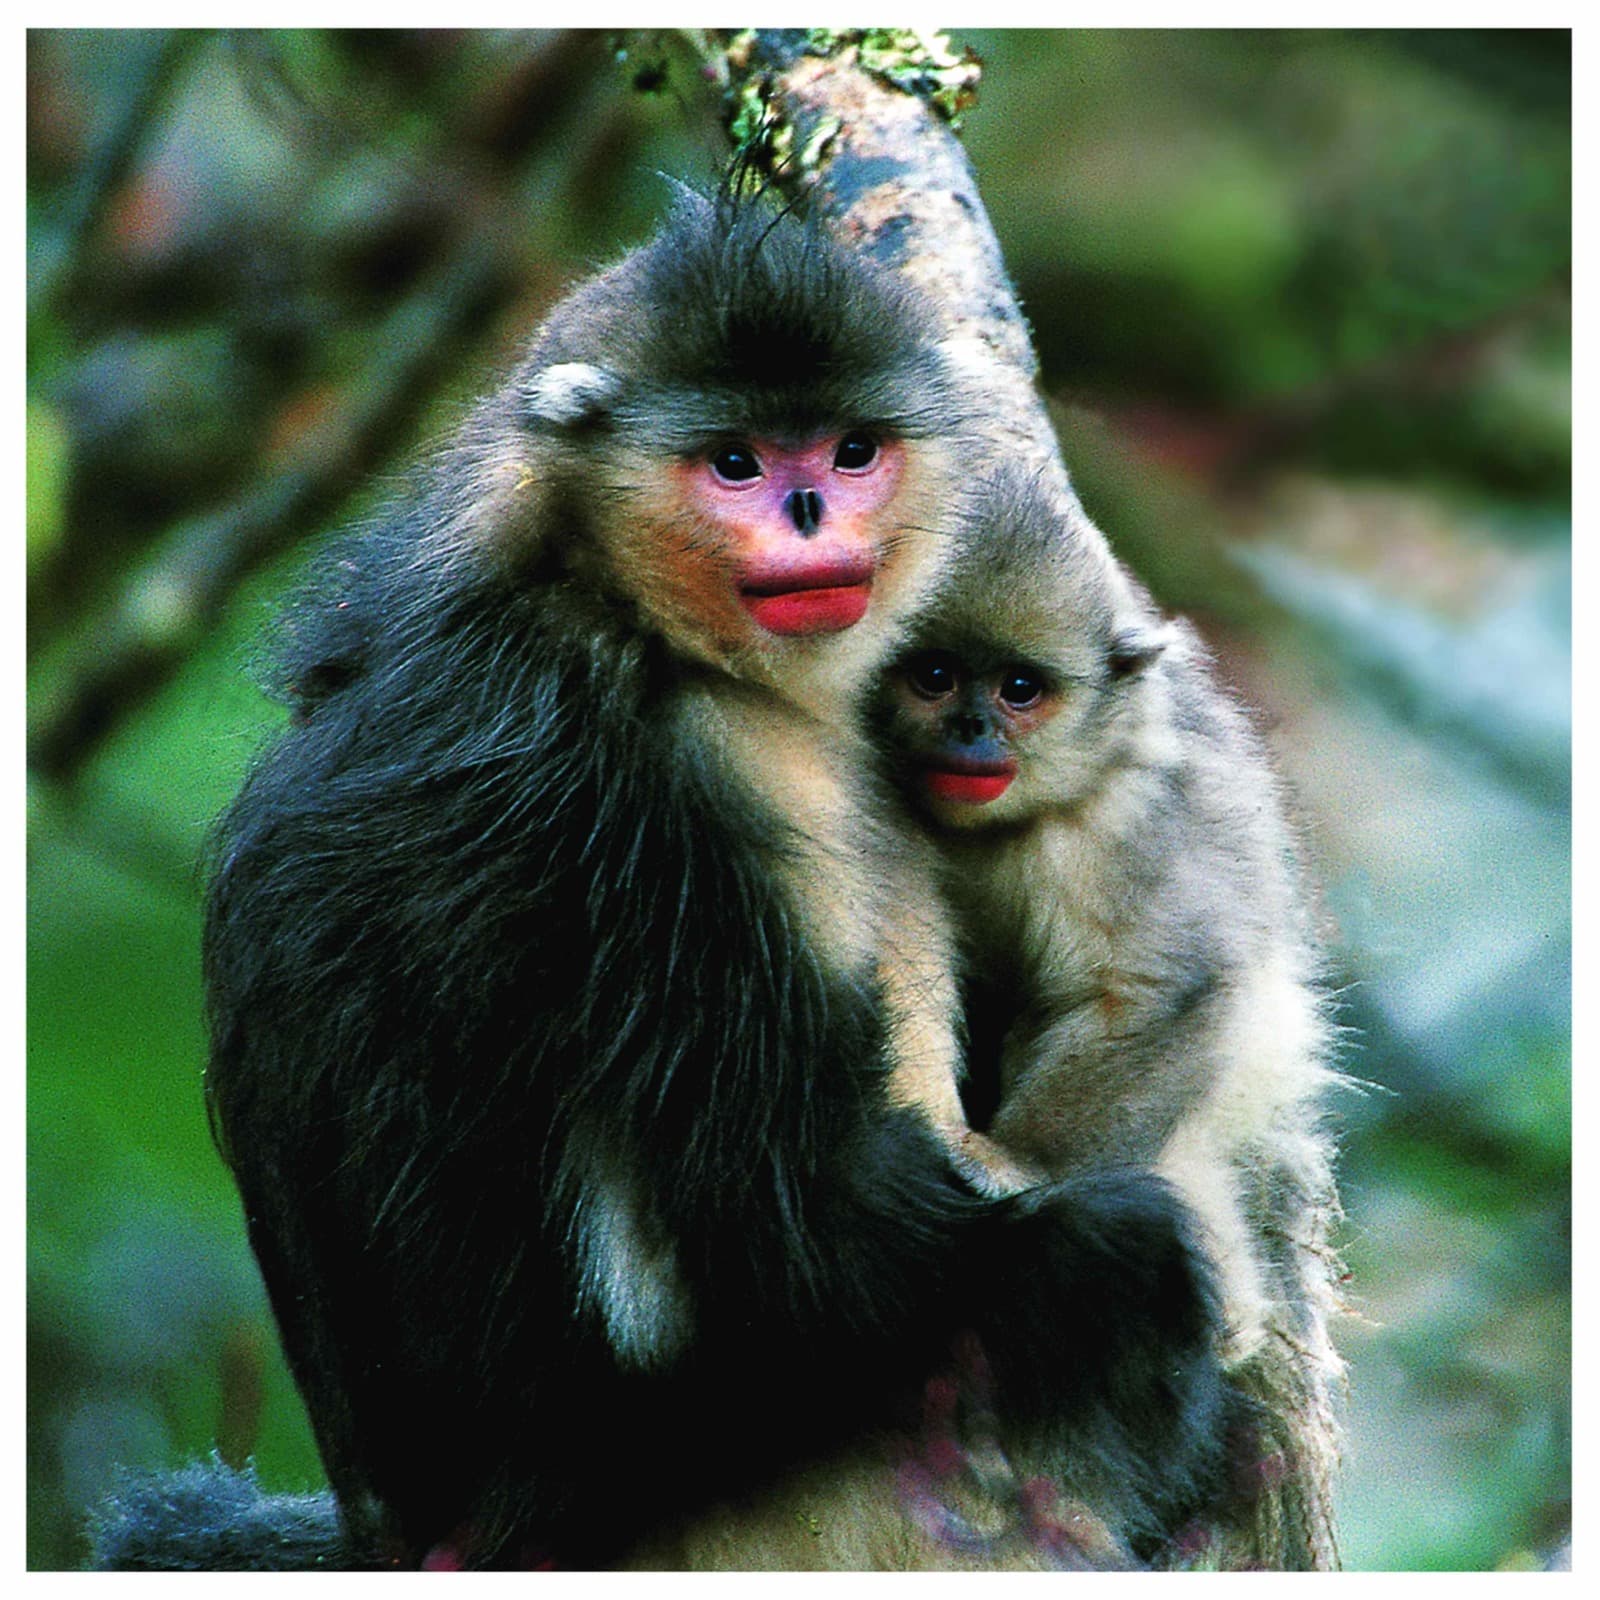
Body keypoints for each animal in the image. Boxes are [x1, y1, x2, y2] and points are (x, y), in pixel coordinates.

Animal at [95, 193, 1242, 1571]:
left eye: (851, 451)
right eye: (734, 464)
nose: (806, 513)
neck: (596, 599)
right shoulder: (705, 771)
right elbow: (800, 1239)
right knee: (1108, 1263)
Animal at [869, 464, 1345, 1563]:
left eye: (1019, 689)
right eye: (934, 677)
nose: (971, 733)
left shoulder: (1123, 824)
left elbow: (1158, 992)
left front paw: (1015, 1164)